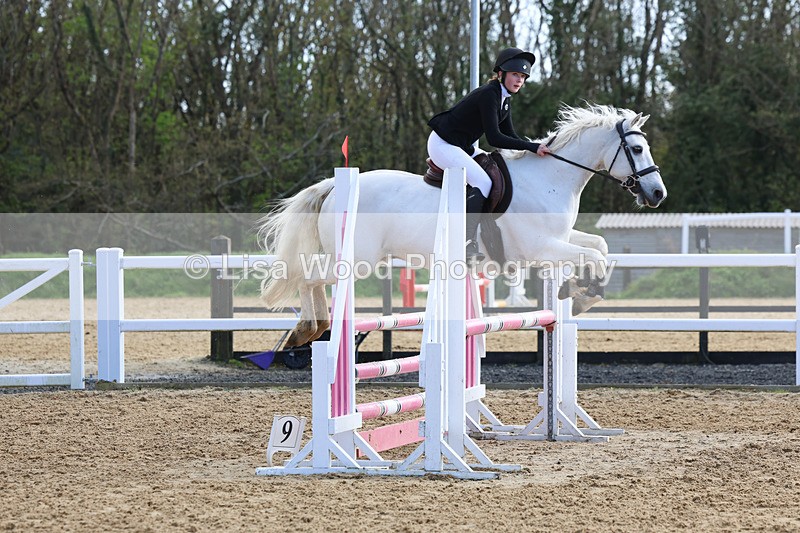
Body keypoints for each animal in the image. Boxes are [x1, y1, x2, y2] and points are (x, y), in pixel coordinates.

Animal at [257, 104, 667, 348]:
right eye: (637, 150)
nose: (658, 193)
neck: (550, 177)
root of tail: (332, 185)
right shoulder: (537, 247)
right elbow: (594, 256)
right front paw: (582, 295)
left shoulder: (558, 239)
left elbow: (600, 247)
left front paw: (577, 291)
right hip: (358, 260)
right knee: (309, 276)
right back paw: (306, 329)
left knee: (311, 277)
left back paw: (309, 330)